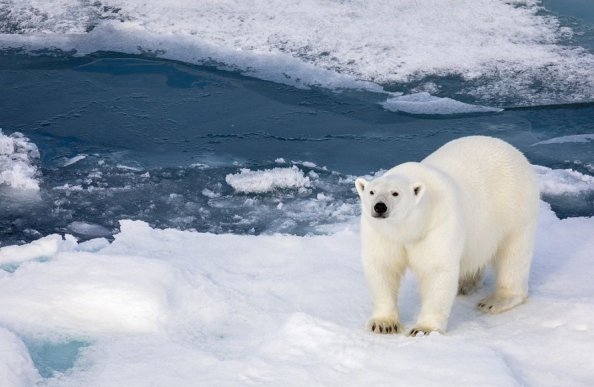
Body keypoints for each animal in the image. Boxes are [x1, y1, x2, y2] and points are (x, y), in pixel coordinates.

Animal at [354, 136, 540, 336]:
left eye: (395, 193)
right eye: (371, 192)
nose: (380, 207)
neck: (408, 228)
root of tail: (514, 151)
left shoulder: (438, 224)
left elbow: (437, 270)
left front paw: (423, 329)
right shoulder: (381, 233)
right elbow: (383, 267)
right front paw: (383, 324)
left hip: (515, 209)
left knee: (512, 256)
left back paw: (494, 301)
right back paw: (466, 284)